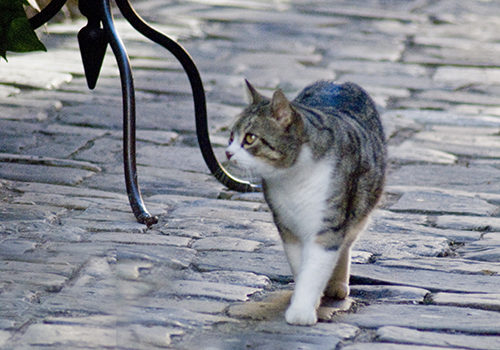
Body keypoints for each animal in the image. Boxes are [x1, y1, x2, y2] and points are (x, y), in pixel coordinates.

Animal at [227, 79, 386, 326]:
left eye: (250, 138)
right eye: (231, 137)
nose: (228, 153)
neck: (293, 178)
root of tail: (338, 82)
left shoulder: (329, 222)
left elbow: (315, 267)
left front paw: (301, 311)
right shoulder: (286, 225)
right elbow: (300, 264)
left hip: (359, 210)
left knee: (346, 243)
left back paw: (338, 284)